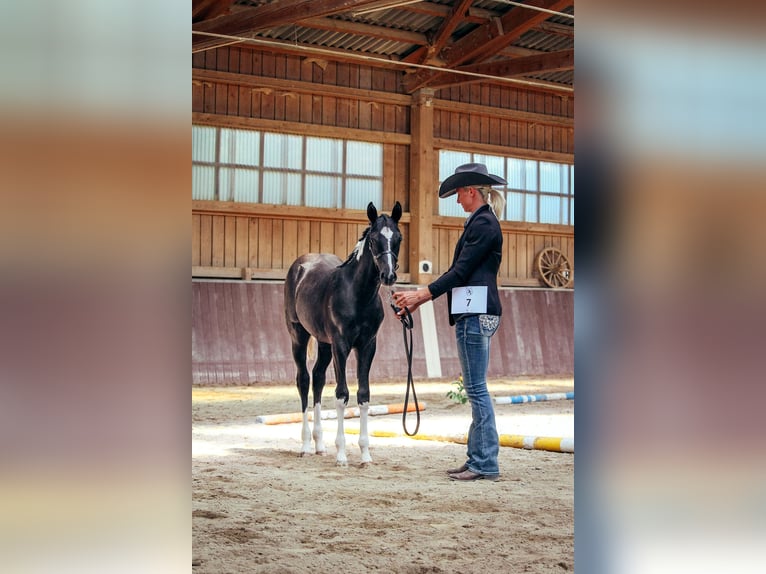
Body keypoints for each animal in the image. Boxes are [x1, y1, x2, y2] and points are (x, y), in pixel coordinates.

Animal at [283, 201, 402, 466]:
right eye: (374, 240)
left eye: (398, 237)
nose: (389, 276)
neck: (358, 295)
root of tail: (299, 266)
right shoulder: (341, 345)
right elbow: (341, 394)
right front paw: (341, 455)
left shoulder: (367, 345)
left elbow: (363, 394)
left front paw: (365, 454)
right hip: (298, 336)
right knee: (303, 379)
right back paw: (306, 445)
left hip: (323, 343)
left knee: (317, 378)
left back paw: (319, 445)